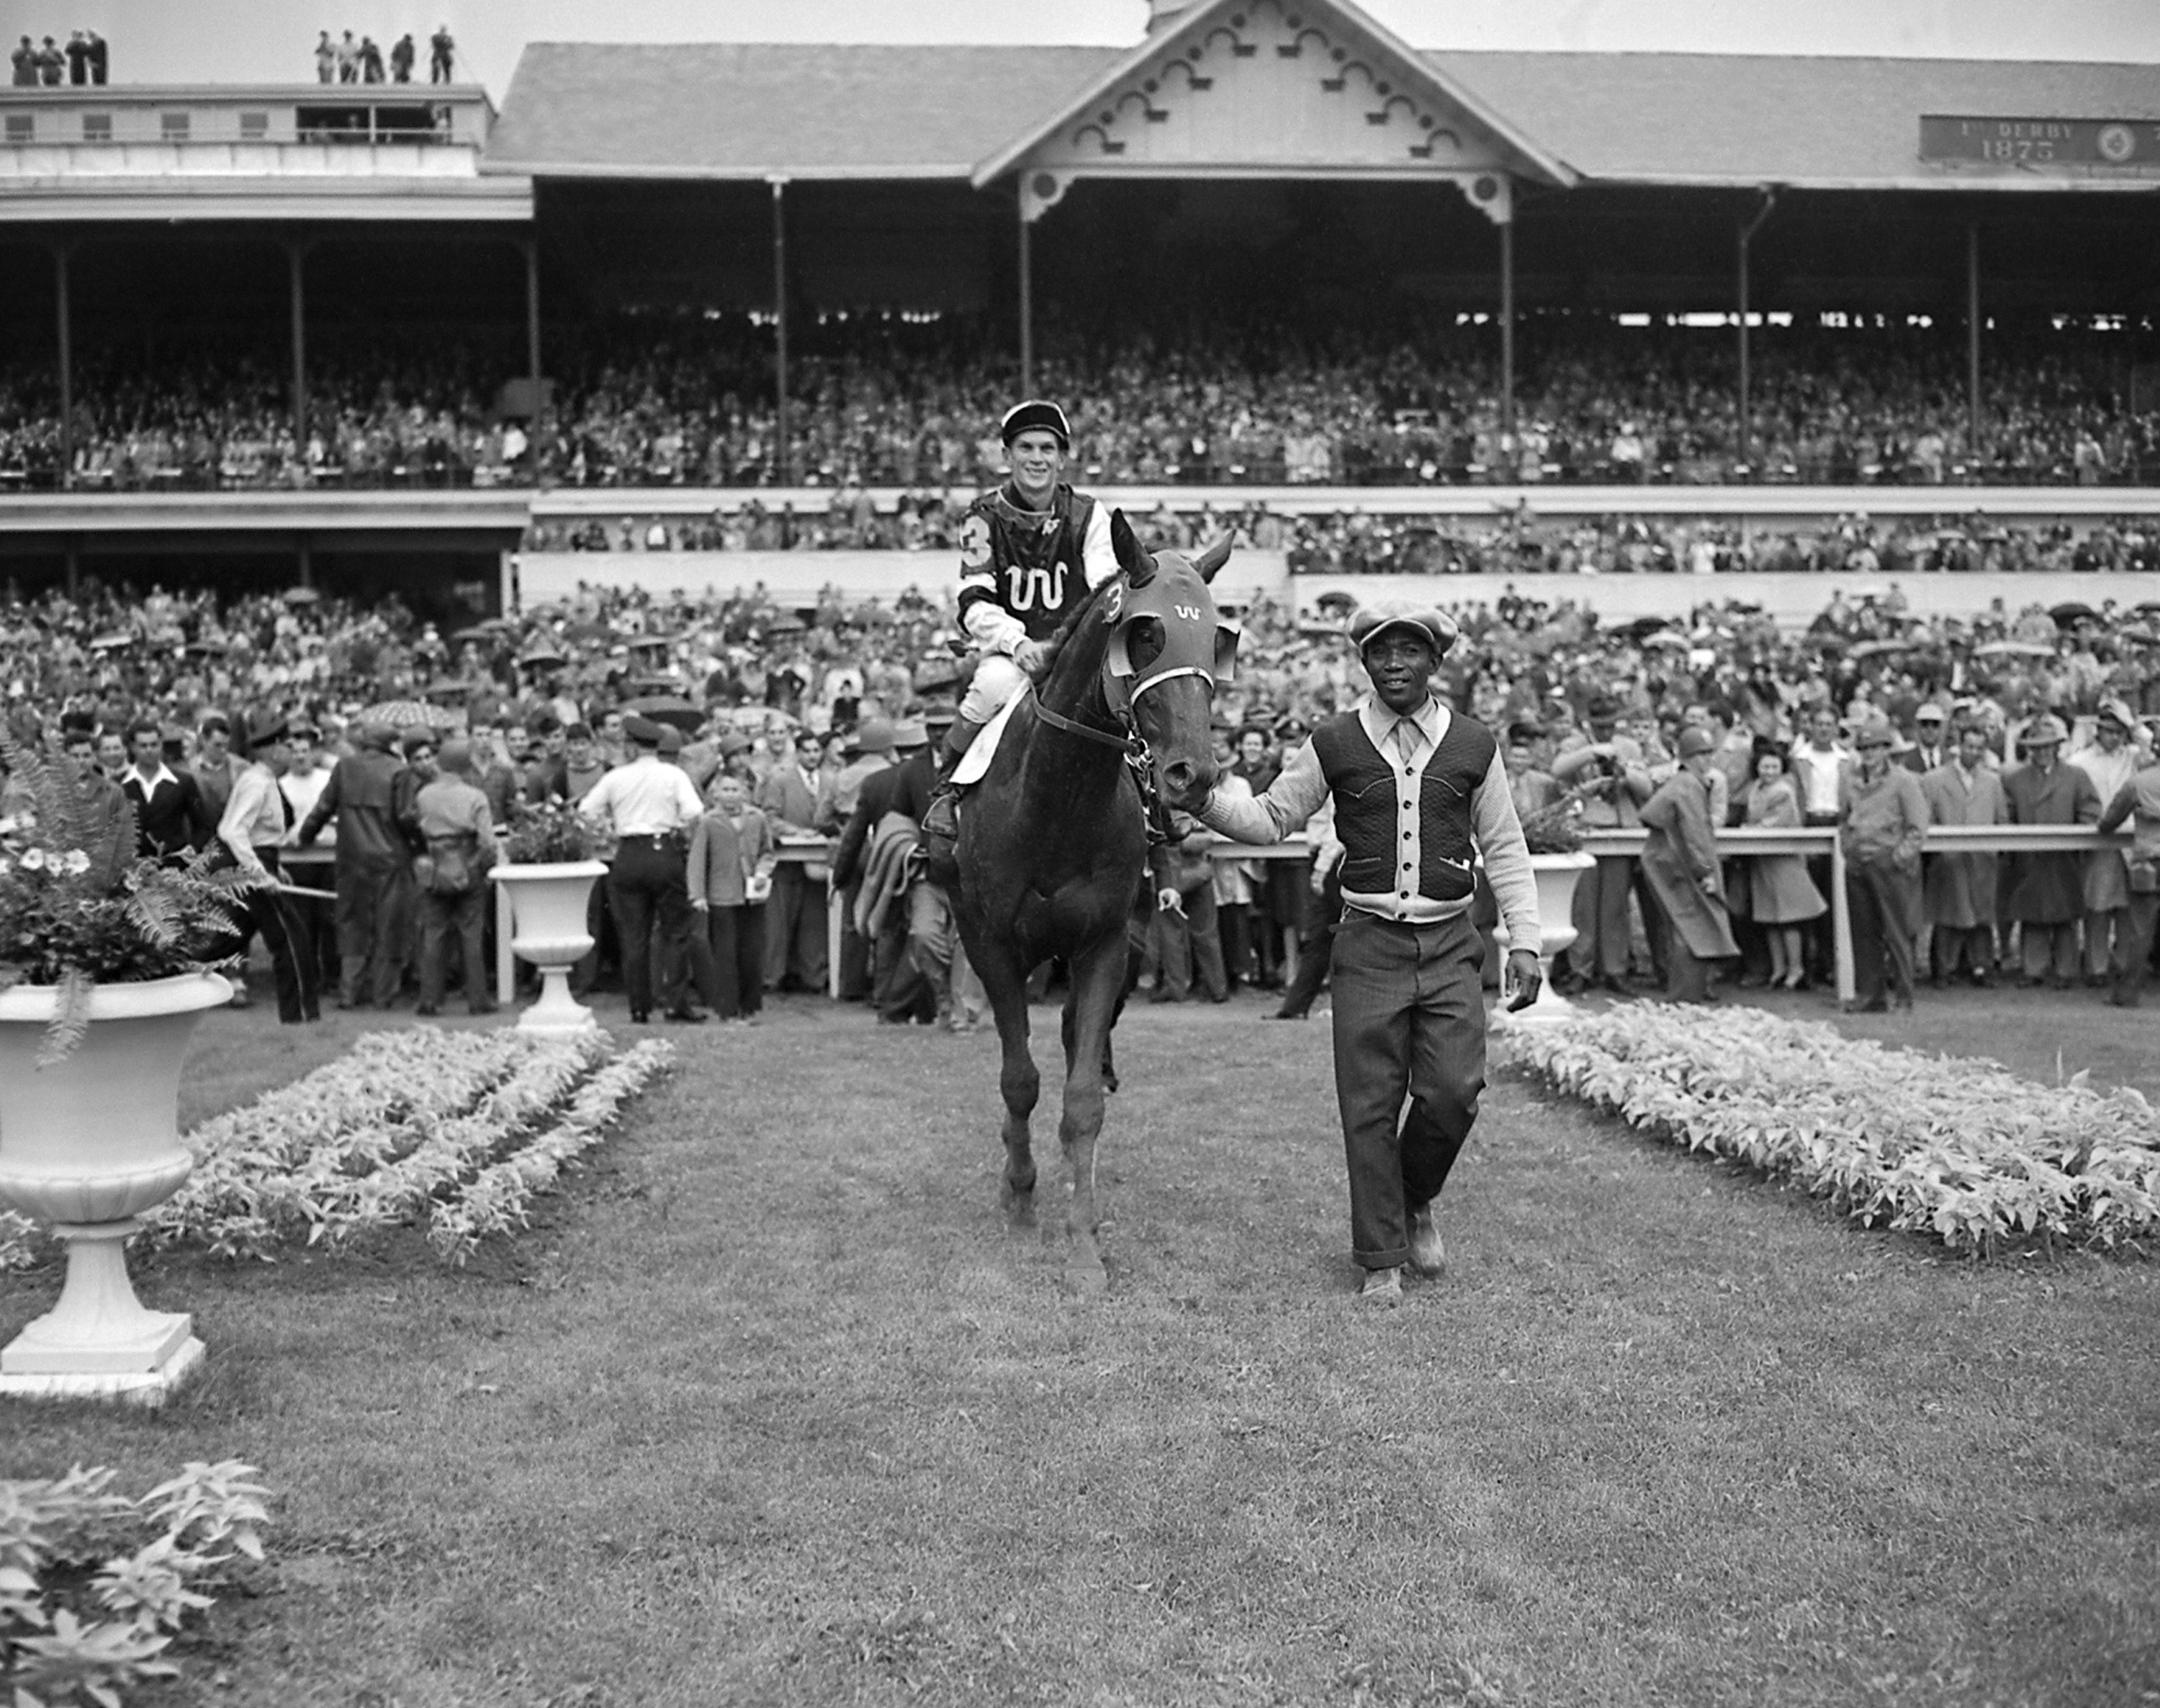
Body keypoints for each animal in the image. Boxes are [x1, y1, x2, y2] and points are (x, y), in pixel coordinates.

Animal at [950, 513, 1236, 1287]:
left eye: (1215, 639)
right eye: (1146, 635)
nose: (1193, 775)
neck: (1057, 802)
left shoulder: (1103, 944)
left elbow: (1080, 1099)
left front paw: (1083, 1241)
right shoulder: (992, 947)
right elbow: (1019, 1080)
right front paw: (1021, 1202)